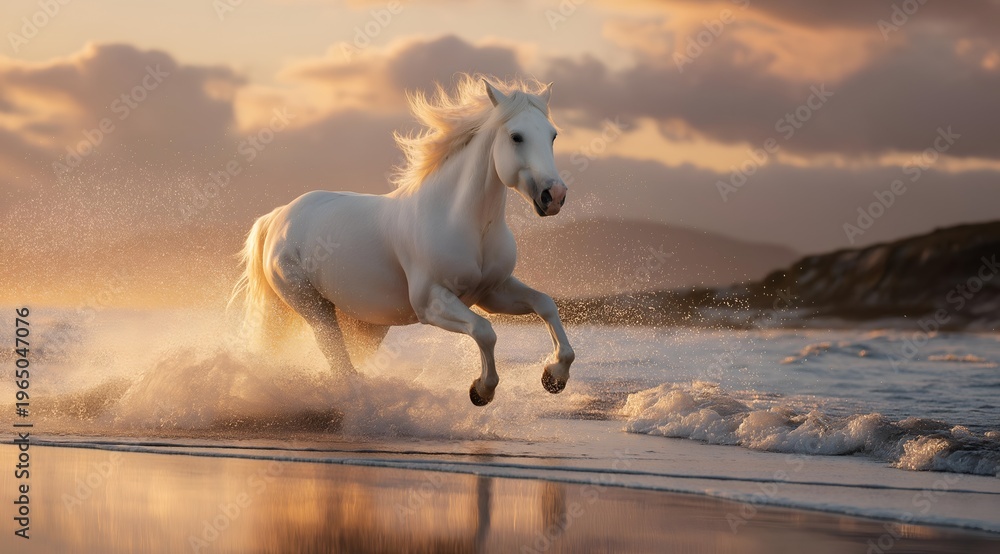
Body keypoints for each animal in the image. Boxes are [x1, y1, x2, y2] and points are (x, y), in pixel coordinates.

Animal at [231, 75, 574, 406]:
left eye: (553, 135)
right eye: (516, 136)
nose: (554, 196)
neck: (462, 221)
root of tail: (278, 217)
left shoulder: (491, 292)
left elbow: (545, 304)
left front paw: (554, 377)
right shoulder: (431, 303)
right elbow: (484, 331)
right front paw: (481, 390)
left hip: (362, 322)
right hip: (315, 310)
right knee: (339, 361)